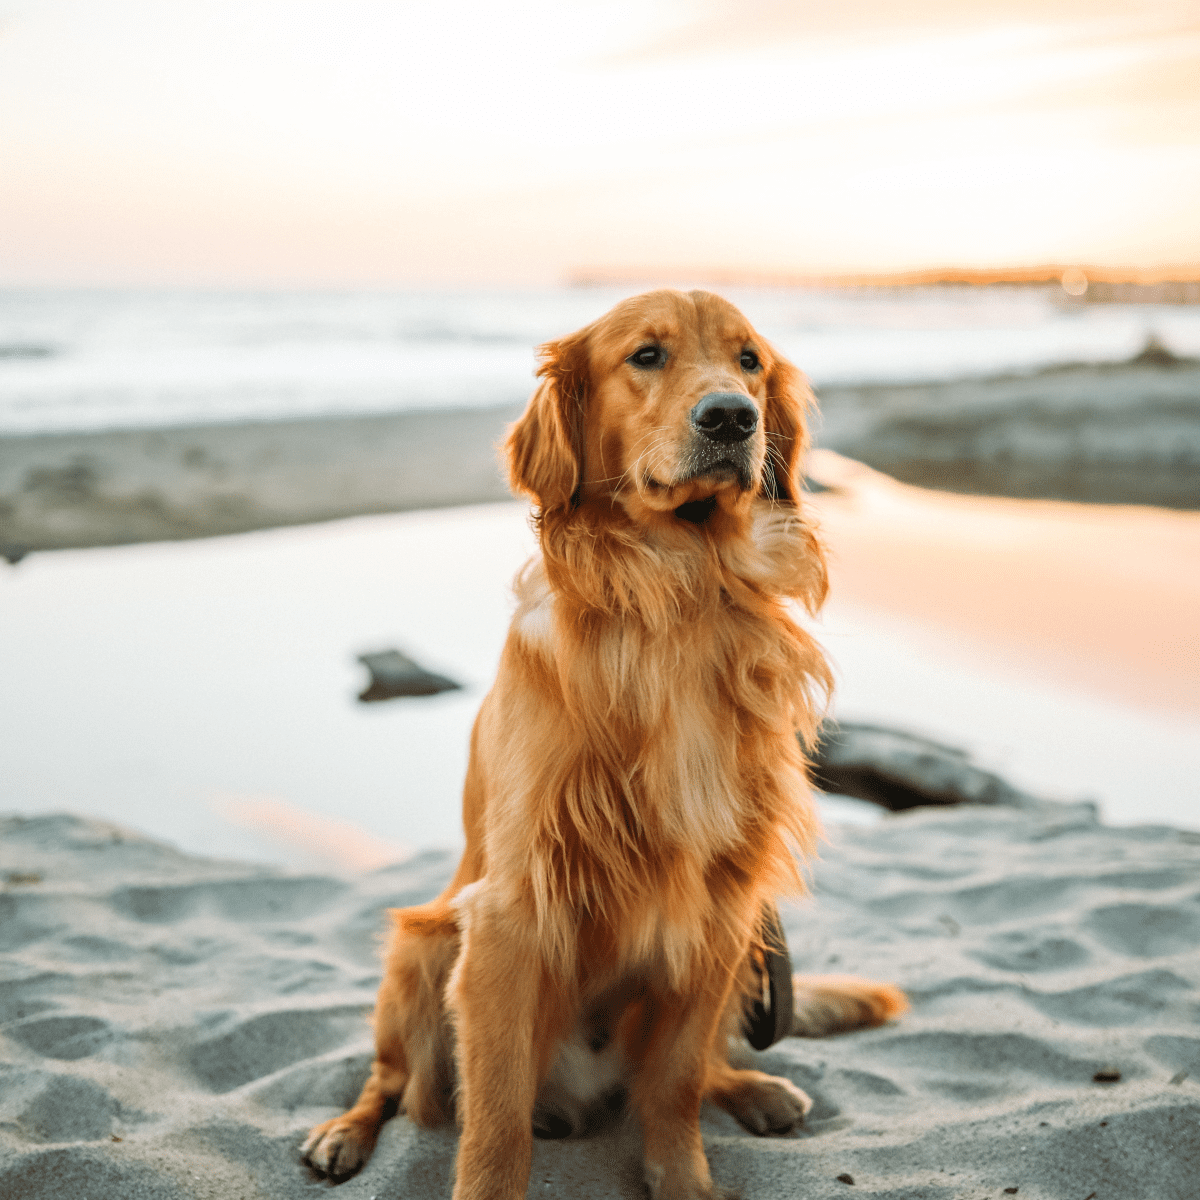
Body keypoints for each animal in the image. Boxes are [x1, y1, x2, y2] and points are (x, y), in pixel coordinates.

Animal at [304, 290, 902, 1200]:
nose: (732, 416)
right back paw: (344, 1133)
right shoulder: (510, 913)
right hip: (422, 948)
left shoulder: (722, 906)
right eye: (646, 355)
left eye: (751, 361)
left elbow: (676, 1082)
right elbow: (495, 1121)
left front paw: (685, 1180)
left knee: (697, 1067)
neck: (680, 592)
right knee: (390, 1082)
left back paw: (755, 1088)